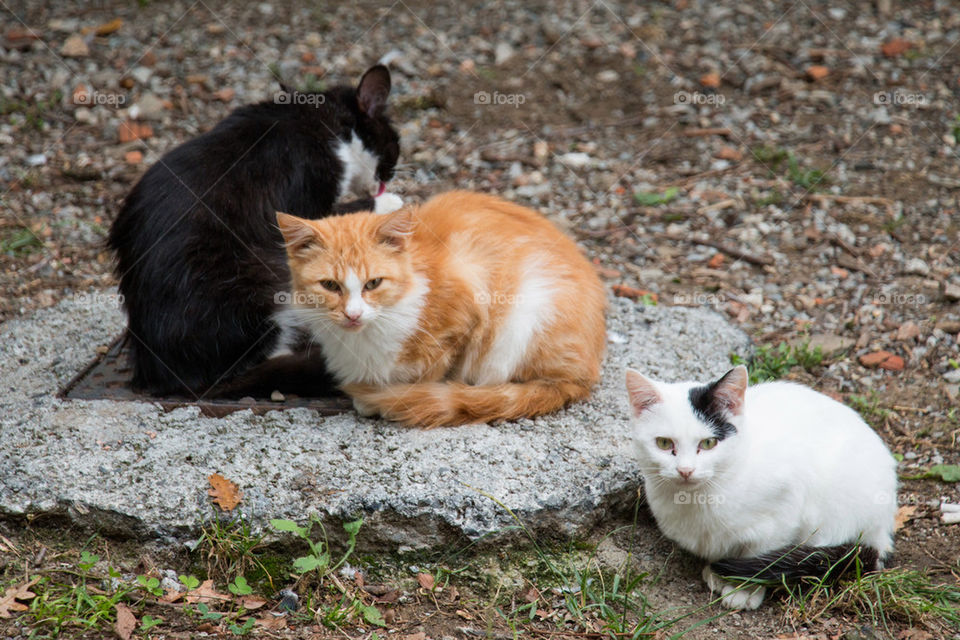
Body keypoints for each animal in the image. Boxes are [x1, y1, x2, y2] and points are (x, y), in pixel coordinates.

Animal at [109, 63, 402, 396]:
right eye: (395, 146)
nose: (389, 177)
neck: (321, 121)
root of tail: (166, 374)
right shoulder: (306, 202)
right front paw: (389, 203)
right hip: (255, 277)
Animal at [278, 191, 604, 430]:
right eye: (330, 285)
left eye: (373, 283)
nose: (353, 314)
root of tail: (583, 376)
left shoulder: (467, 305)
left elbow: (436, 370)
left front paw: (388, 397)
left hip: (524, 316)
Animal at [628, 364, 896, 608]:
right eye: (664, 443)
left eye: (708, 443)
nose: (685, 470)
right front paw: (718, 573)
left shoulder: (785, 510)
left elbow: (758, 553)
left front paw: (744, 588)